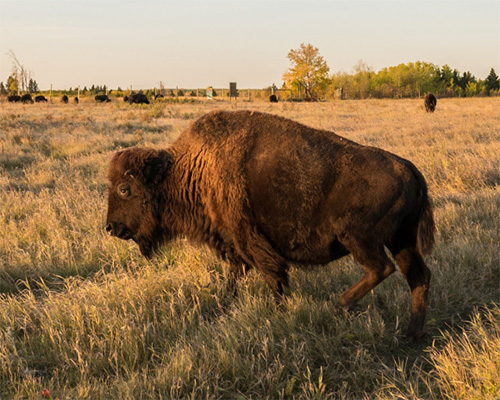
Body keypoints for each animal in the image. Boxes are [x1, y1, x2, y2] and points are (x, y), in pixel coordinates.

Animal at [105, 108, 434, 338]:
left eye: (124, 189)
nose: (110, 227)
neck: (191, 168)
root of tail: (409, 168)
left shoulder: (247, 237)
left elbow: (272, 275)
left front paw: (277, 312)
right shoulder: (232, 243)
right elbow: (235, 276)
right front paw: (226, 303)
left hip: (358, 238)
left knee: (382, 268)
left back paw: (341, 305)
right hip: (401, 239)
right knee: (418, 276)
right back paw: (411, 334)